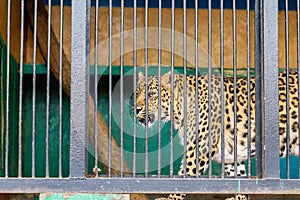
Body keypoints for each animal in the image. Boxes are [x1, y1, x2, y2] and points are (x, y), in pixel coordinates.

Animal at [135, 70, 298, 198]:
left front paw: (171, 197)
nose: (136, 109)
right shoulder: (231, 156)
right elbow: (238, 181)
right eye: (137, 93)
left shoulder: (198, 149)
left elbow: (183, 177)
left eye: (152, 94)